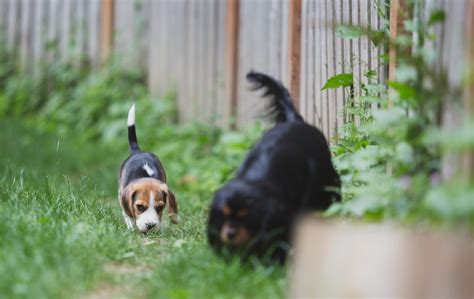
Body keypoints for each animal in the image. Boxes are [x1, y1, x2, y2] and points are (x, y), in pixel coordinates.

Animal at [117, 104, 179, 233]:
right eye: (140, 207)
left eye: (160, 207)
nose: (150, 225)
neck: (144, 176)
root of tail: (138, 151)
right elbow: (127, 214)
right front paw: (131, 228)